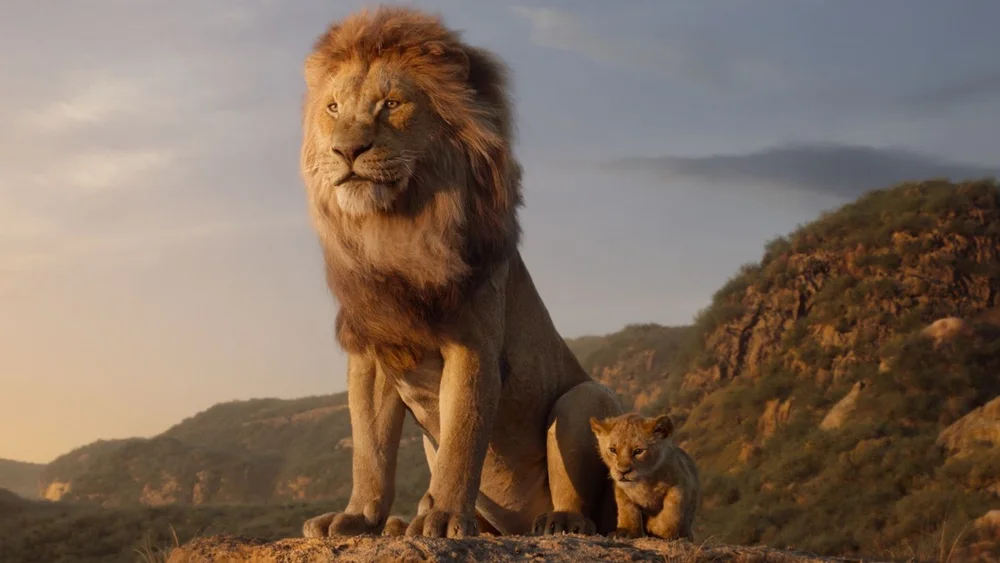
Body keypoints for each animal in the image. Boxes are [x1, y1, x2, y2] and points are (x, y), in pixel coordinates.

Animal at [297, 6, 624, 538]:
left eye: (391, 104)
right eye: (332, 108)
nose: (347, 151)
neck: (395, 230)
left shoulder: (473, 344)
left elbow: (462, 439)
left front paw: (446, 517)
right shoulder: (373, 351)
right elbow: (370, 450)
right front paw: (358, 517)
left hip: (585, 398)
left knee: (585, 501)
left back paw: (558, 521)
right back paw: (402, 523)